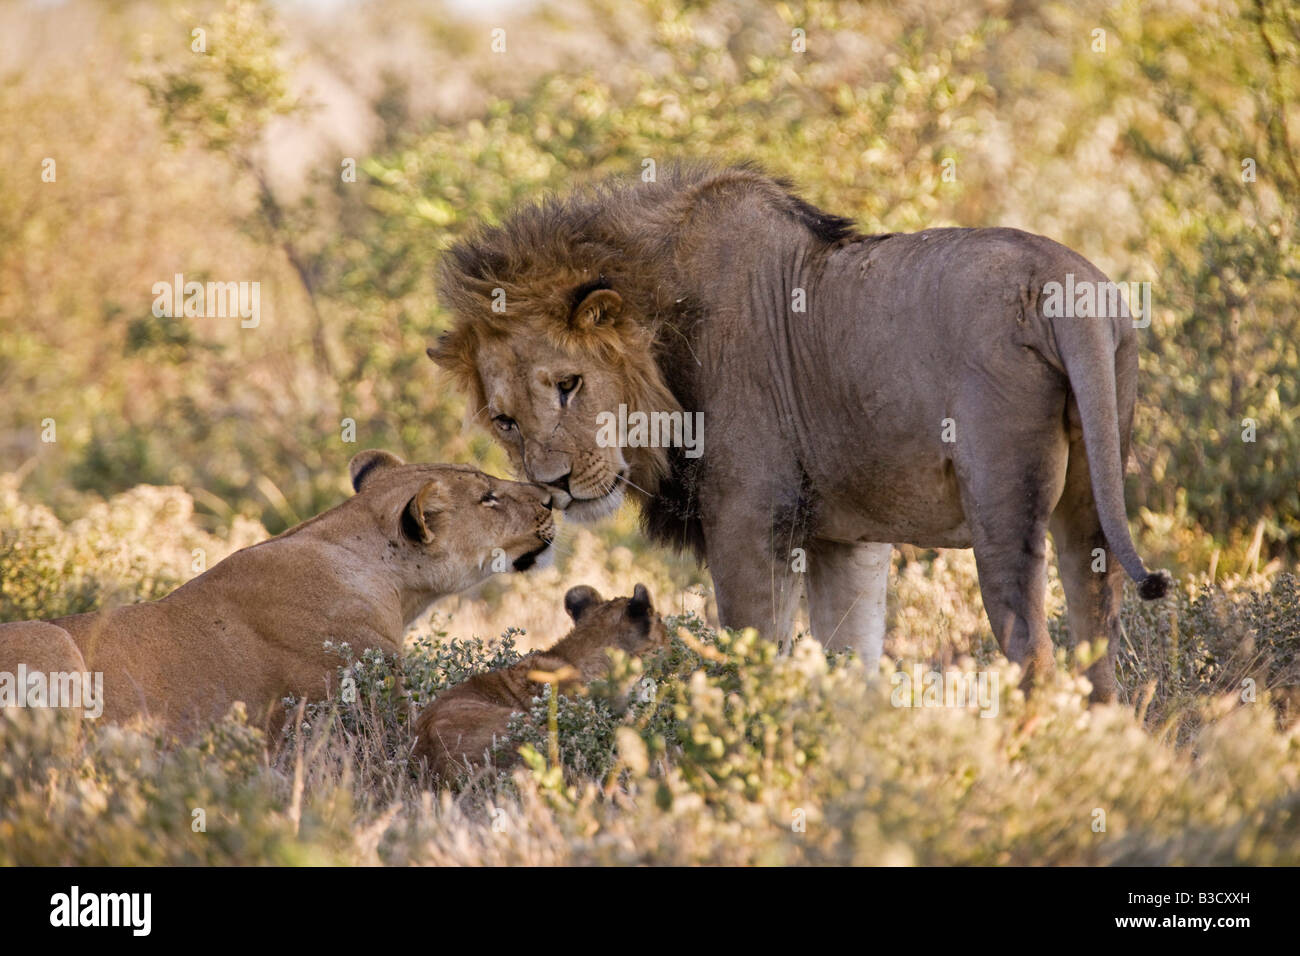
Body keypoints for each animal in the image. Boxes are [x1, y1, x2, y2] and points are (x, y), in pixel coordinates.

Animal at [428, 161, 1170, 702]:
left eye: (569, 384)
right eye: (505, 420)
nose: (553, 486)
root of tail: (1062, 283)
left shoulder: (748, 520)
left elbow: (752, 656)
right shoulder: (844, 537)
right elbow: (851, 660)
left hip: (1000, 506)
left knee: (1035, 657)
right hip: (1091, 500)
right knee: (1097, 646)